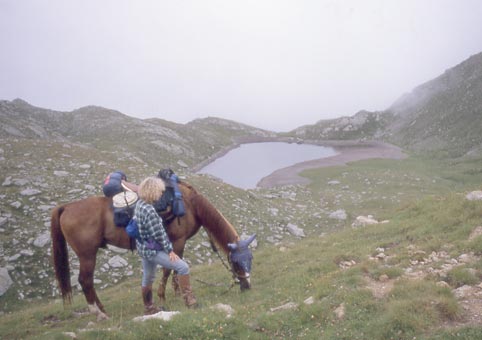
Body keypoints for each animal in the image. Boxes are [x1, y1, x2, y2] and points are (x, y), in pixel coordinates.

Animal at [50, 182, 256, 320]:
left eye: (250, 260)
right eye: (236, 262)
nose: (247, 286)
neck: (190, 205)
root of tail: (66, 207)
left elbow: (172, 271)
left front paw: (174, 294)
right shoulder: (178, 241)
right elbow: (169, 269)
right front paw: (166, 296)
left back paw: (102, 309)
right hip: (87, 255)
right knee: (85, 281)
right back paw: (99, 313)